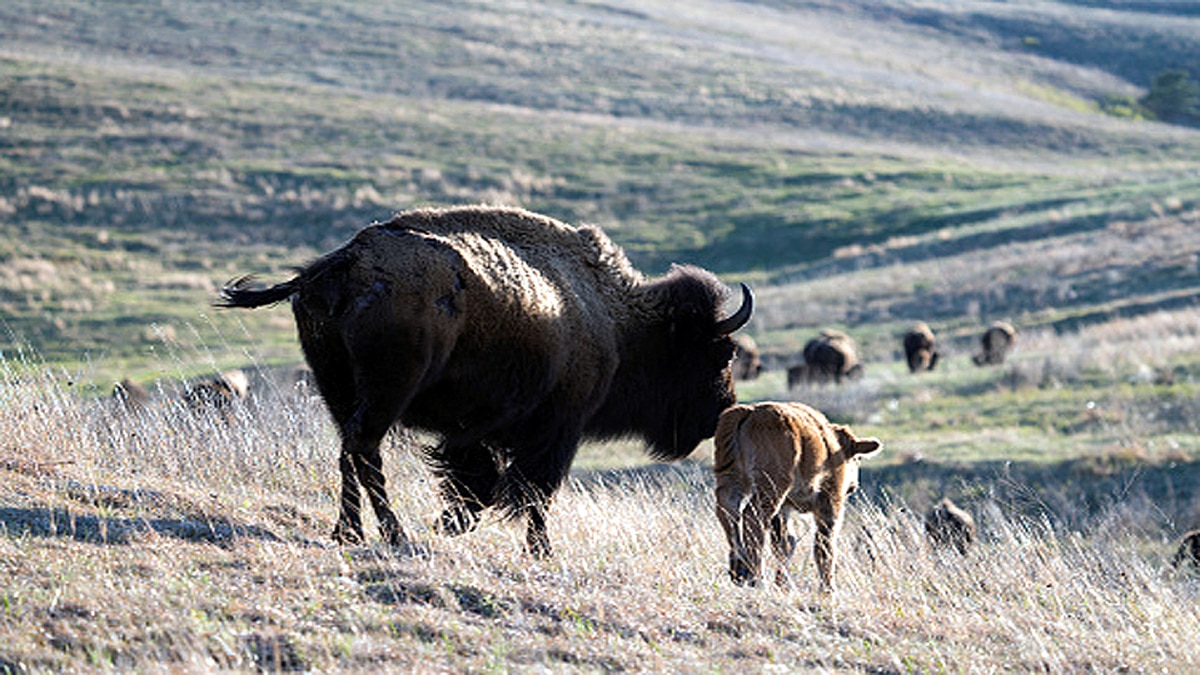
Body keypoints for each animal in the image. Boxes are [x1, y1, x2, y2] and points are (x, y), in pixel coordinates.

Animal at [218, 205, 752, 557]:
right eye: (719, 353)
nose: (720, 411)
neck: (614, 318)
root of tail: (341, 263)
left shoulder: (479, 430)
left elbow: (480, 480)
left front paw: (453, 522)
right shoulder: (557, 431)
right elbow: (532, 493)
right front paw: (538, 551)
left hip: (339, 389)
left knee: (350, 450)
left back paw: (350, 532)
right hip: (387, 391)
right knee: (365, 449)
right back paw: (391, 533)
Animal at [714, 401, 881, 592]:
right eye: (857, 458)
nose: (853, 486)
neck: (834, 446)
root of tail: (749, 412)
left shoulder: (784, 507)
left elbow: (786, 543)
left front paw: (783, 584)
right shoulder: (831, 500)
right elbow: (825, 543)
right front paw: (828, 589)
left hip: (730, 477)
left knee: (728, 511)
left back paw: (739, 569)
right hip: (772, 486)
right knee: (752, 516)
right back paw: (756, 578)